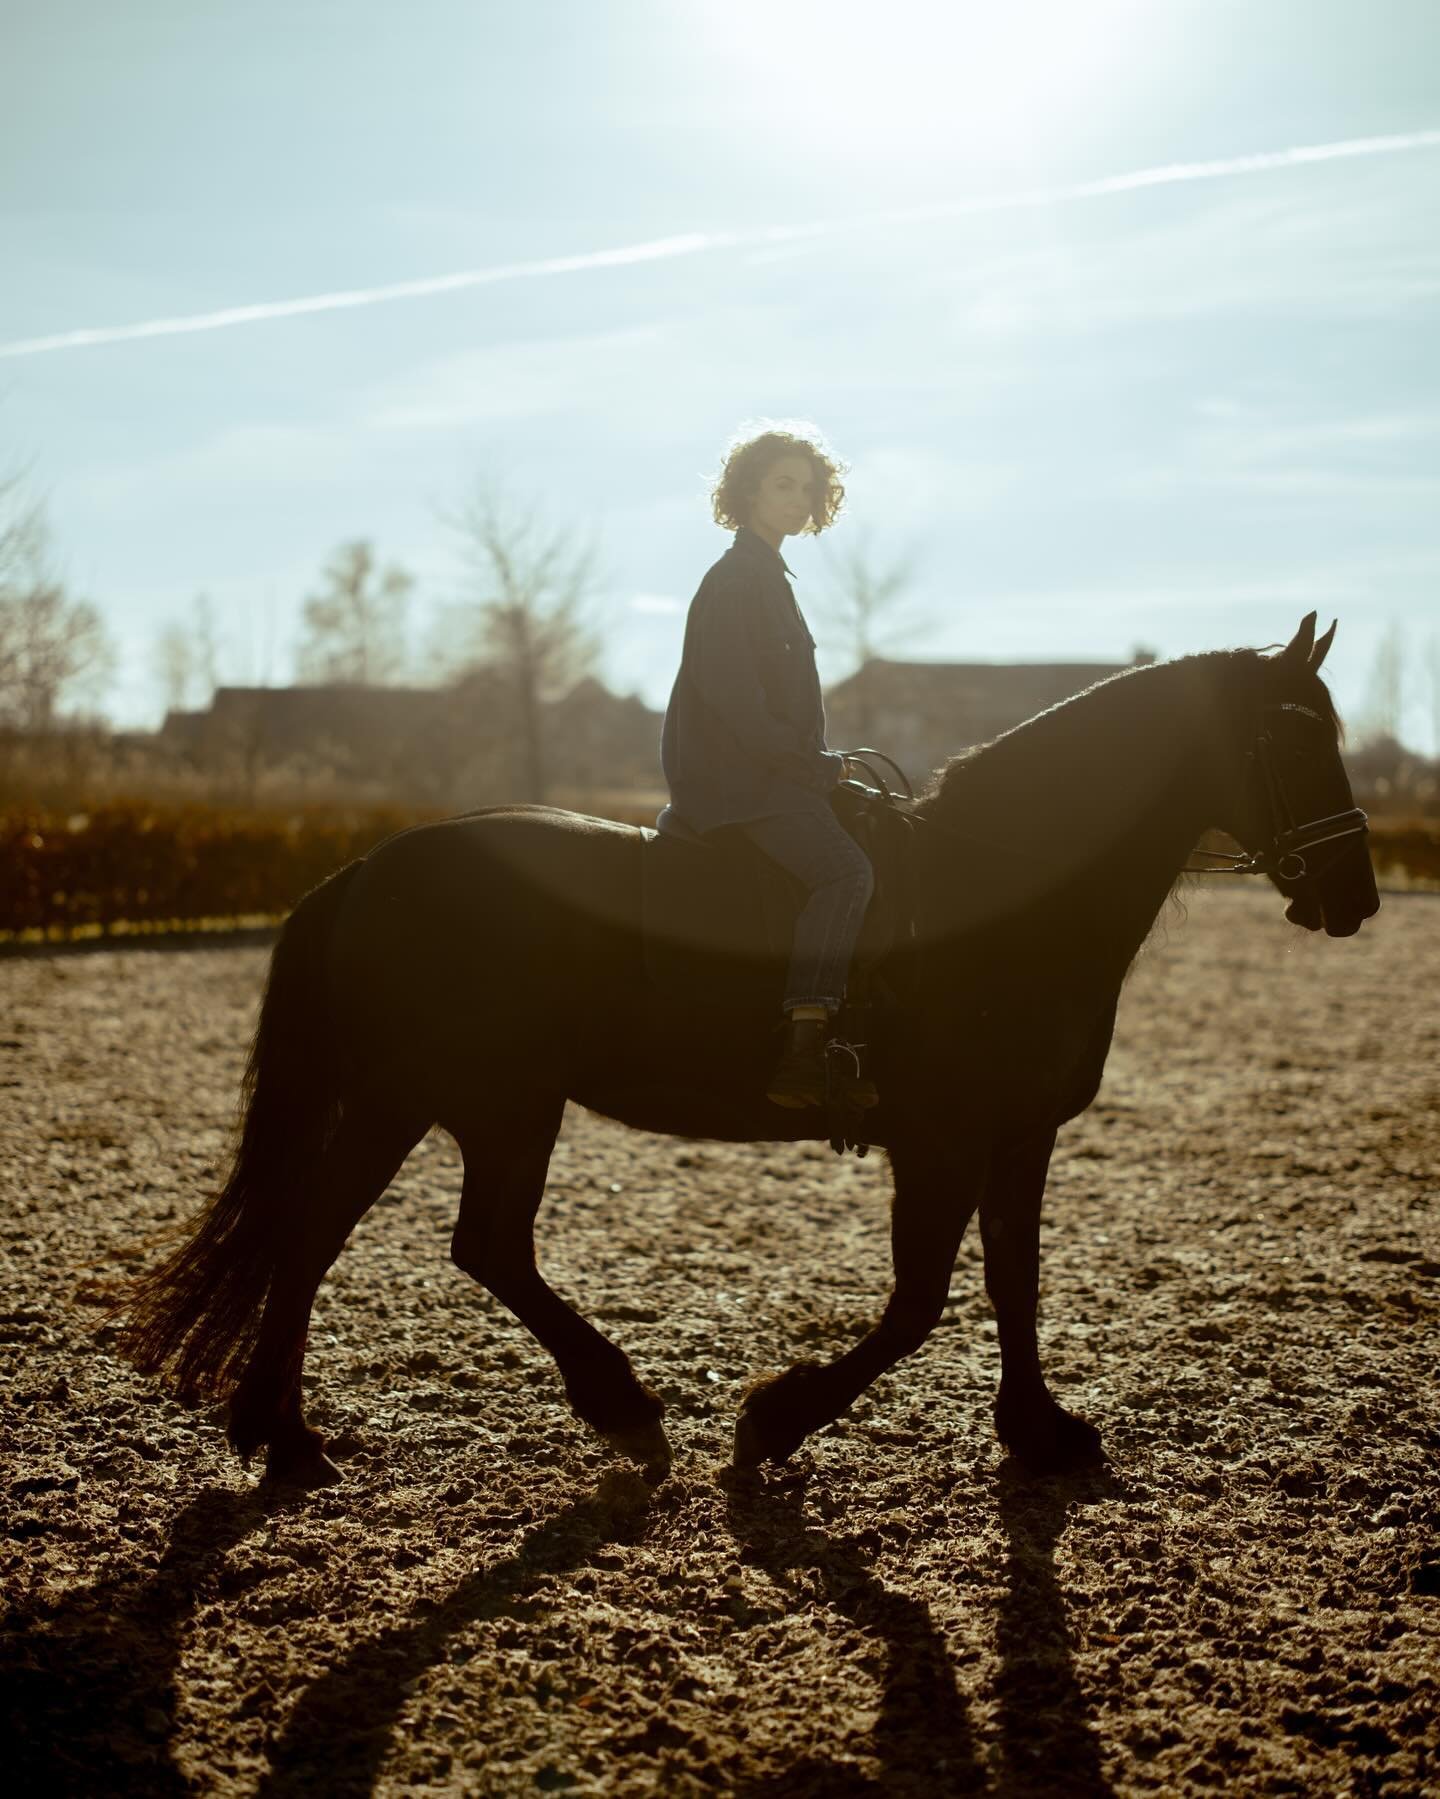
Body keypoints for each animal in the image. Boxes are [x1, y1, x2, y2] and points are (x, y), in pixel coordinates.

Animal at [117, 611, 1375, 1482]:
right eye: (1295, 734)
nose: (1357, 894)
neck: (1000, 890)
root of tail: (370, 867)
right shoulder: (941, 1138)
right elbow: (918, 1303)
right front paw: (775, 1417)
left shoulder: (1021, 1134)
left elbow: (1013, 1279)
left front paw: (1038, 1429)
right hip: (471, 1099)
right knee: (414, 1241)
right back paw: (561, 1407)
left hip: (445, 1099)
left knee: (383, 1238)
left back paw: (319, 1428)